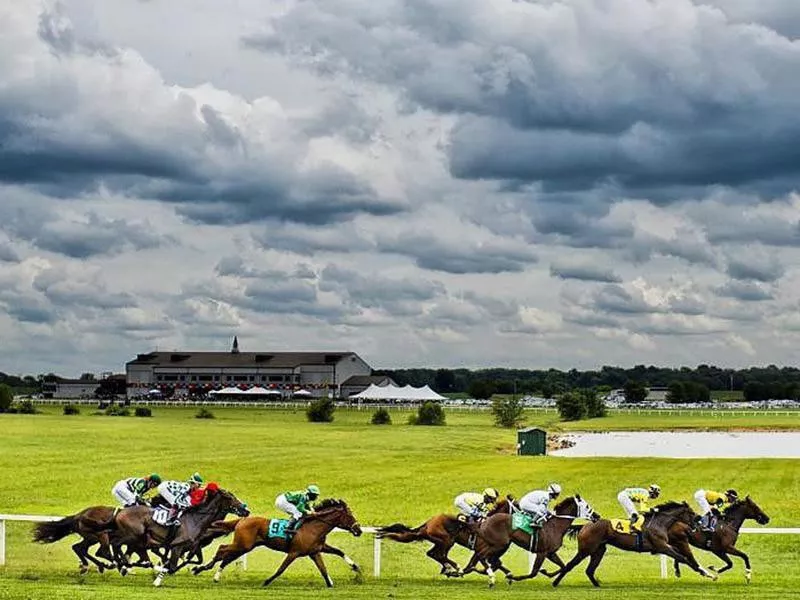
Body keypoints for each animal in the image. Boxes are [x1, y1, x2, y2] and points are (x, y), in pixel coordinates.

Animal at [192, 500, 360, 588]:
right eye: (349, 516)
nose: (358, 530)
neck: (313, 527)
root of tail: (242, 520)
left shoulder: (316, 551)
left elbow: (331, 560)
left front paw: (353, 568)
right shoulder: (294, 552)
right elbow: (281, 569)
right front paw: (266, 581)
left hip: (246, 546)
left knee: (226, 555)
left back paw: (208, 571)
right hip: (242, 545)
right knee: (222, 549)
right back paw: (204, 570)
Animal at [456, 496, 600, 584]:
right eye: (587, 506)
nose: (597, 516)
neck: (555, 526)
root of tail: (486, 522)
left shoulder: (550, 553)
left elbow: (563, 566)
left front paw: (546, 572)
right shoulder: (542, 552)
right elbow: (533, 572)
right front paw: (516, 577)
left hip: (500, 545)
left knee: (486, 558)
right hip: (498, 545)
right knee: (483, 556)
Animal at [552, 500, 712, 588]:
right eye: (691, 513)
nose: (698, 524)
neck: (659, 523)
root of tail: (585, 526)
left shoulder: (663, 547)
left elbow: (680, 556)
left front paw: (702, 572)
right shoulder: (661, 546)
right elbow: (682, 558)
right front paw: (703, 572)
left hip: (599, 550)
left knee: (589, 570)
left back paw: (597, 585)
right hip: (586, 550)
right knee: (570, 565)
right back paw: (555, 582)